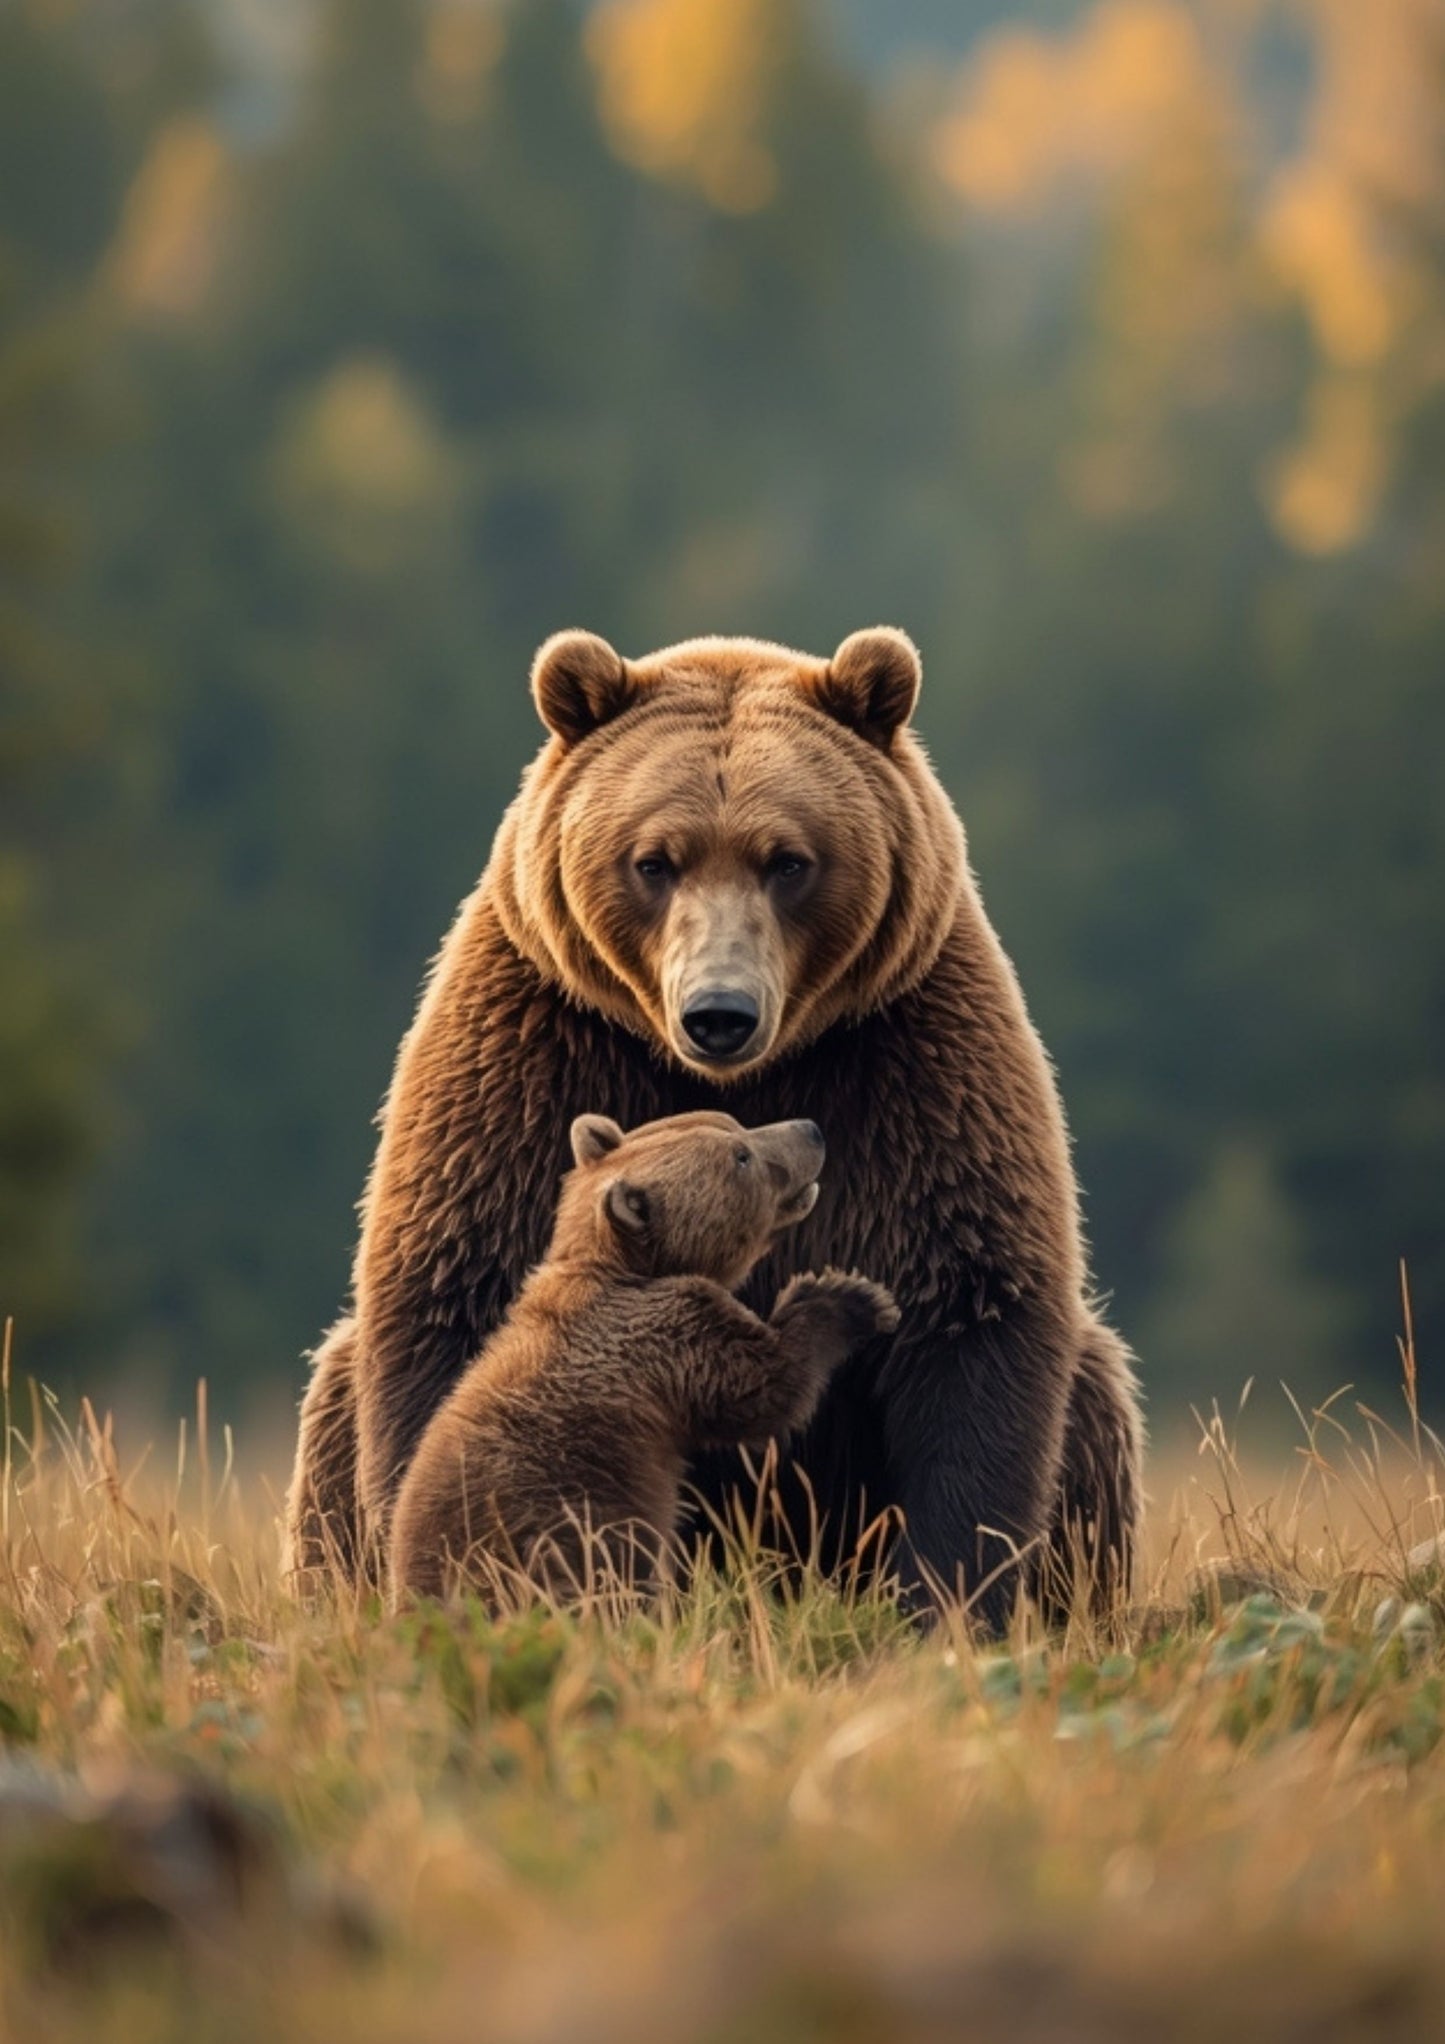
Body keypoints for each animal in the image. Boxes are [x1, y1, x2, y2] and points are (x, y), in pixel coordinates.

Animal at [389, 1110, 899, 1604]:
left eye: (732, 1123)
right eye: (740, 1157)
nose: (811, 1131)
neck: (621, 1265)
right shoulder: (668, 1335)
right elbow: (763, 1387)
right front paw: (851, 1296)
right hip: (552, 1536)